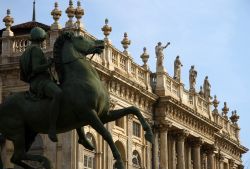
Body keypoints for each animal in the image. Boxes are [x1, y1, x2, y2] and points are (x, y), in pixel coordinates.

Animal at [0, 32, 152, 169]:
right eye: (80, 38)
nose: (100, 42)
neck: (81, 79)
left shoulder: (104, 114)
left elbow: (133, 109)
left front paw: (149, 133)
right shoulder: (89, 113)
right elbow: (107, 134)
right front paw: (118, 161)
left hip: (29, 132)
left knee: (17, 157)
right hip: (18, 132)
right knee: (18, 155)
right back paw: (45, 161)